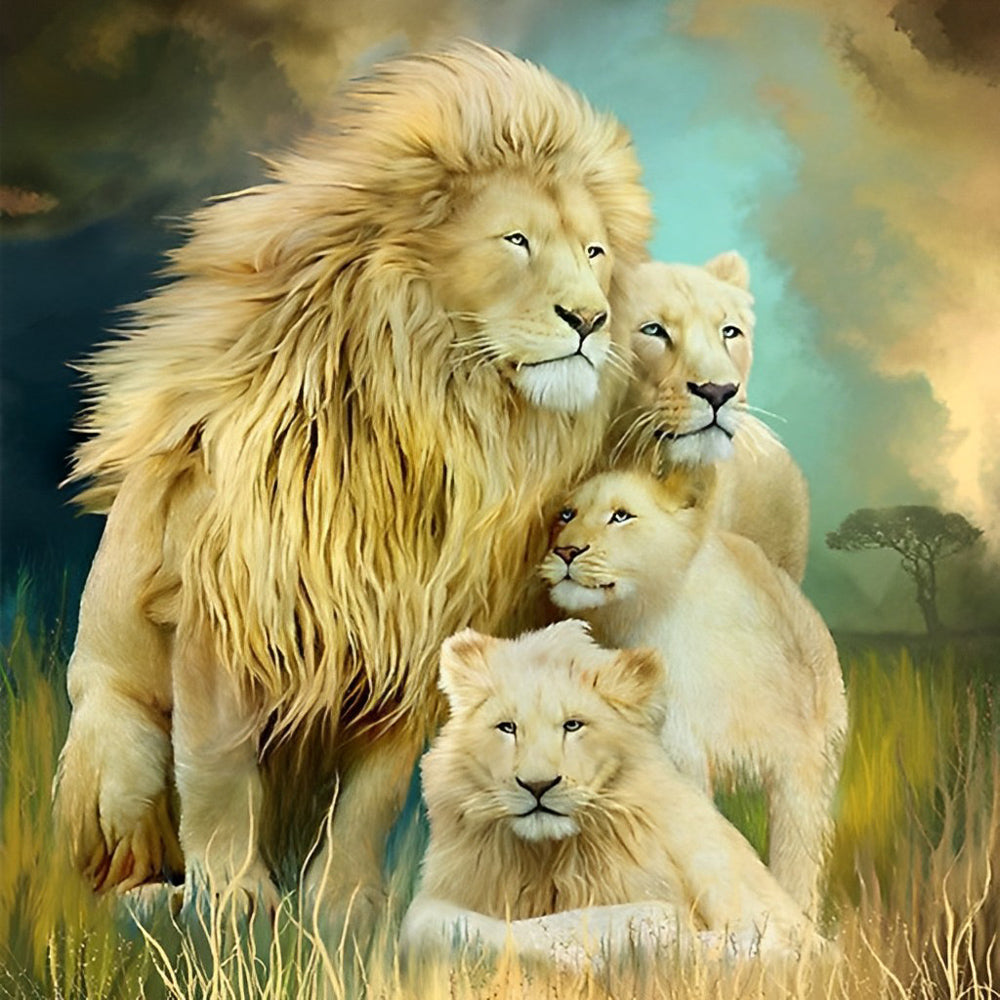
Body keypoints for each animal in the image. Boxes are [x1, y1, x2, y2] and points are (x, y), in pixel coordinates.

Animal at [52, 42, 651, 931]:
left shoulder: (417, 633)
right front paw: (234, 903)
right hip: (112, 739)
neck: (437, 418)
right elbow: (218, 773)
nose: (590, 320)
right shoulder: (223, 618)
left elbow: (371, 798)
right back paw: (152, 902)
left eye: (594, 254)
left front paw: (347, 910)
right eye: (515, 239)